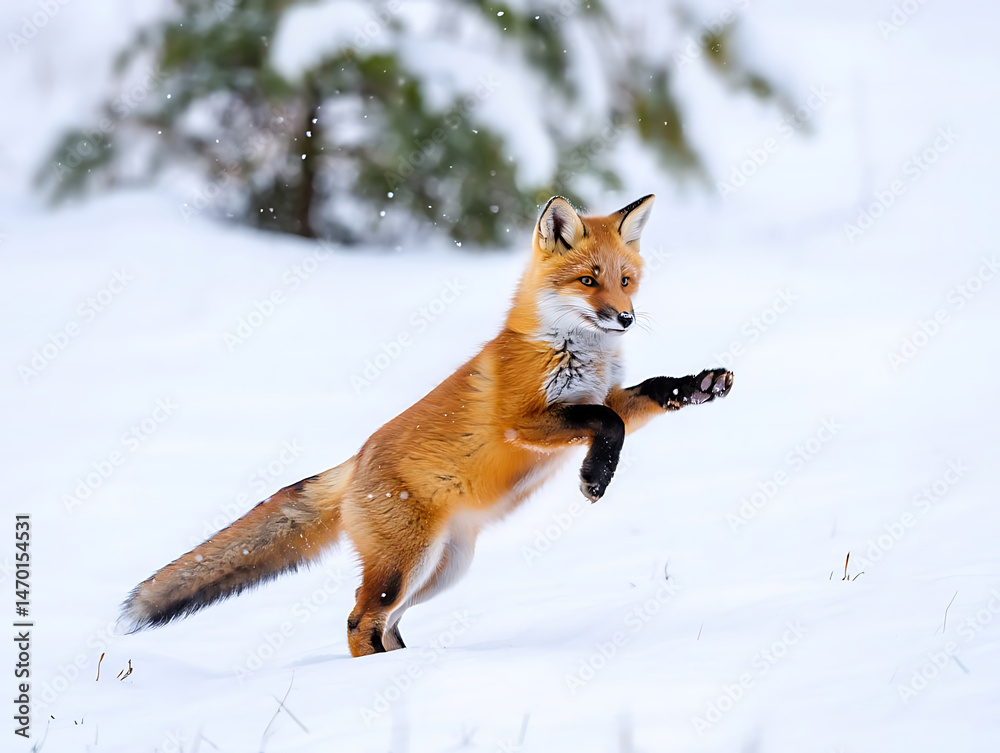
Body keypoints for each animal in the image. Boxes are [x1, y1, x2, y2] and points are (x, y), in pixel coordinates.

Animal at [120, 194, 734, 657]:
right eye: (588, 280)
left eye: (626, 280)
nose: (625, 318)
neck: (573, 352)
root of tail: (355, 461)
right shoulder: (527, 422)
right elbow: (608, 425)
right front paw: (595, 478)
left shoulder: (598, 398)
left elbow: (643, 397)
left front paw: (697, 385)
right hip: (405, 566)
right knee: (359, 620)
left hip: (442, 570)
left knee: (386, 625)